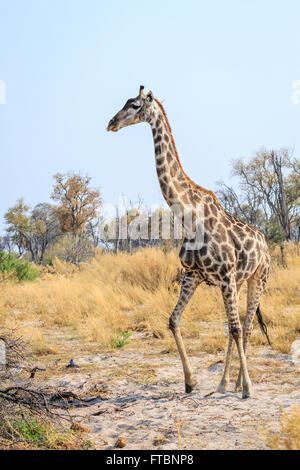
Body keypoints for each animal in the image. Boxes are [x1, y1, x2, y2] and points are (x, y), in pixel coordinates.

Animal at [106, 84, 270, 396]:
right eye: (124, 102)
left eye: (134, 105)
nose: (111, 123)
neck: (188, 216)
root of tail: (265, 243)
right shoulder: (193, 275)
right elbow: (173, 320)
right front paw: (190, 381)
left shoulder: (224, 276)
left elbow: (235, 327)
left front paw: (248, 388)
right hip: (239, 281)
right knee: (236, 327)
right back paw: (224, 383)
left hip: (258, 278)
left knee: (245, 326)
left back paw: (241, 384)